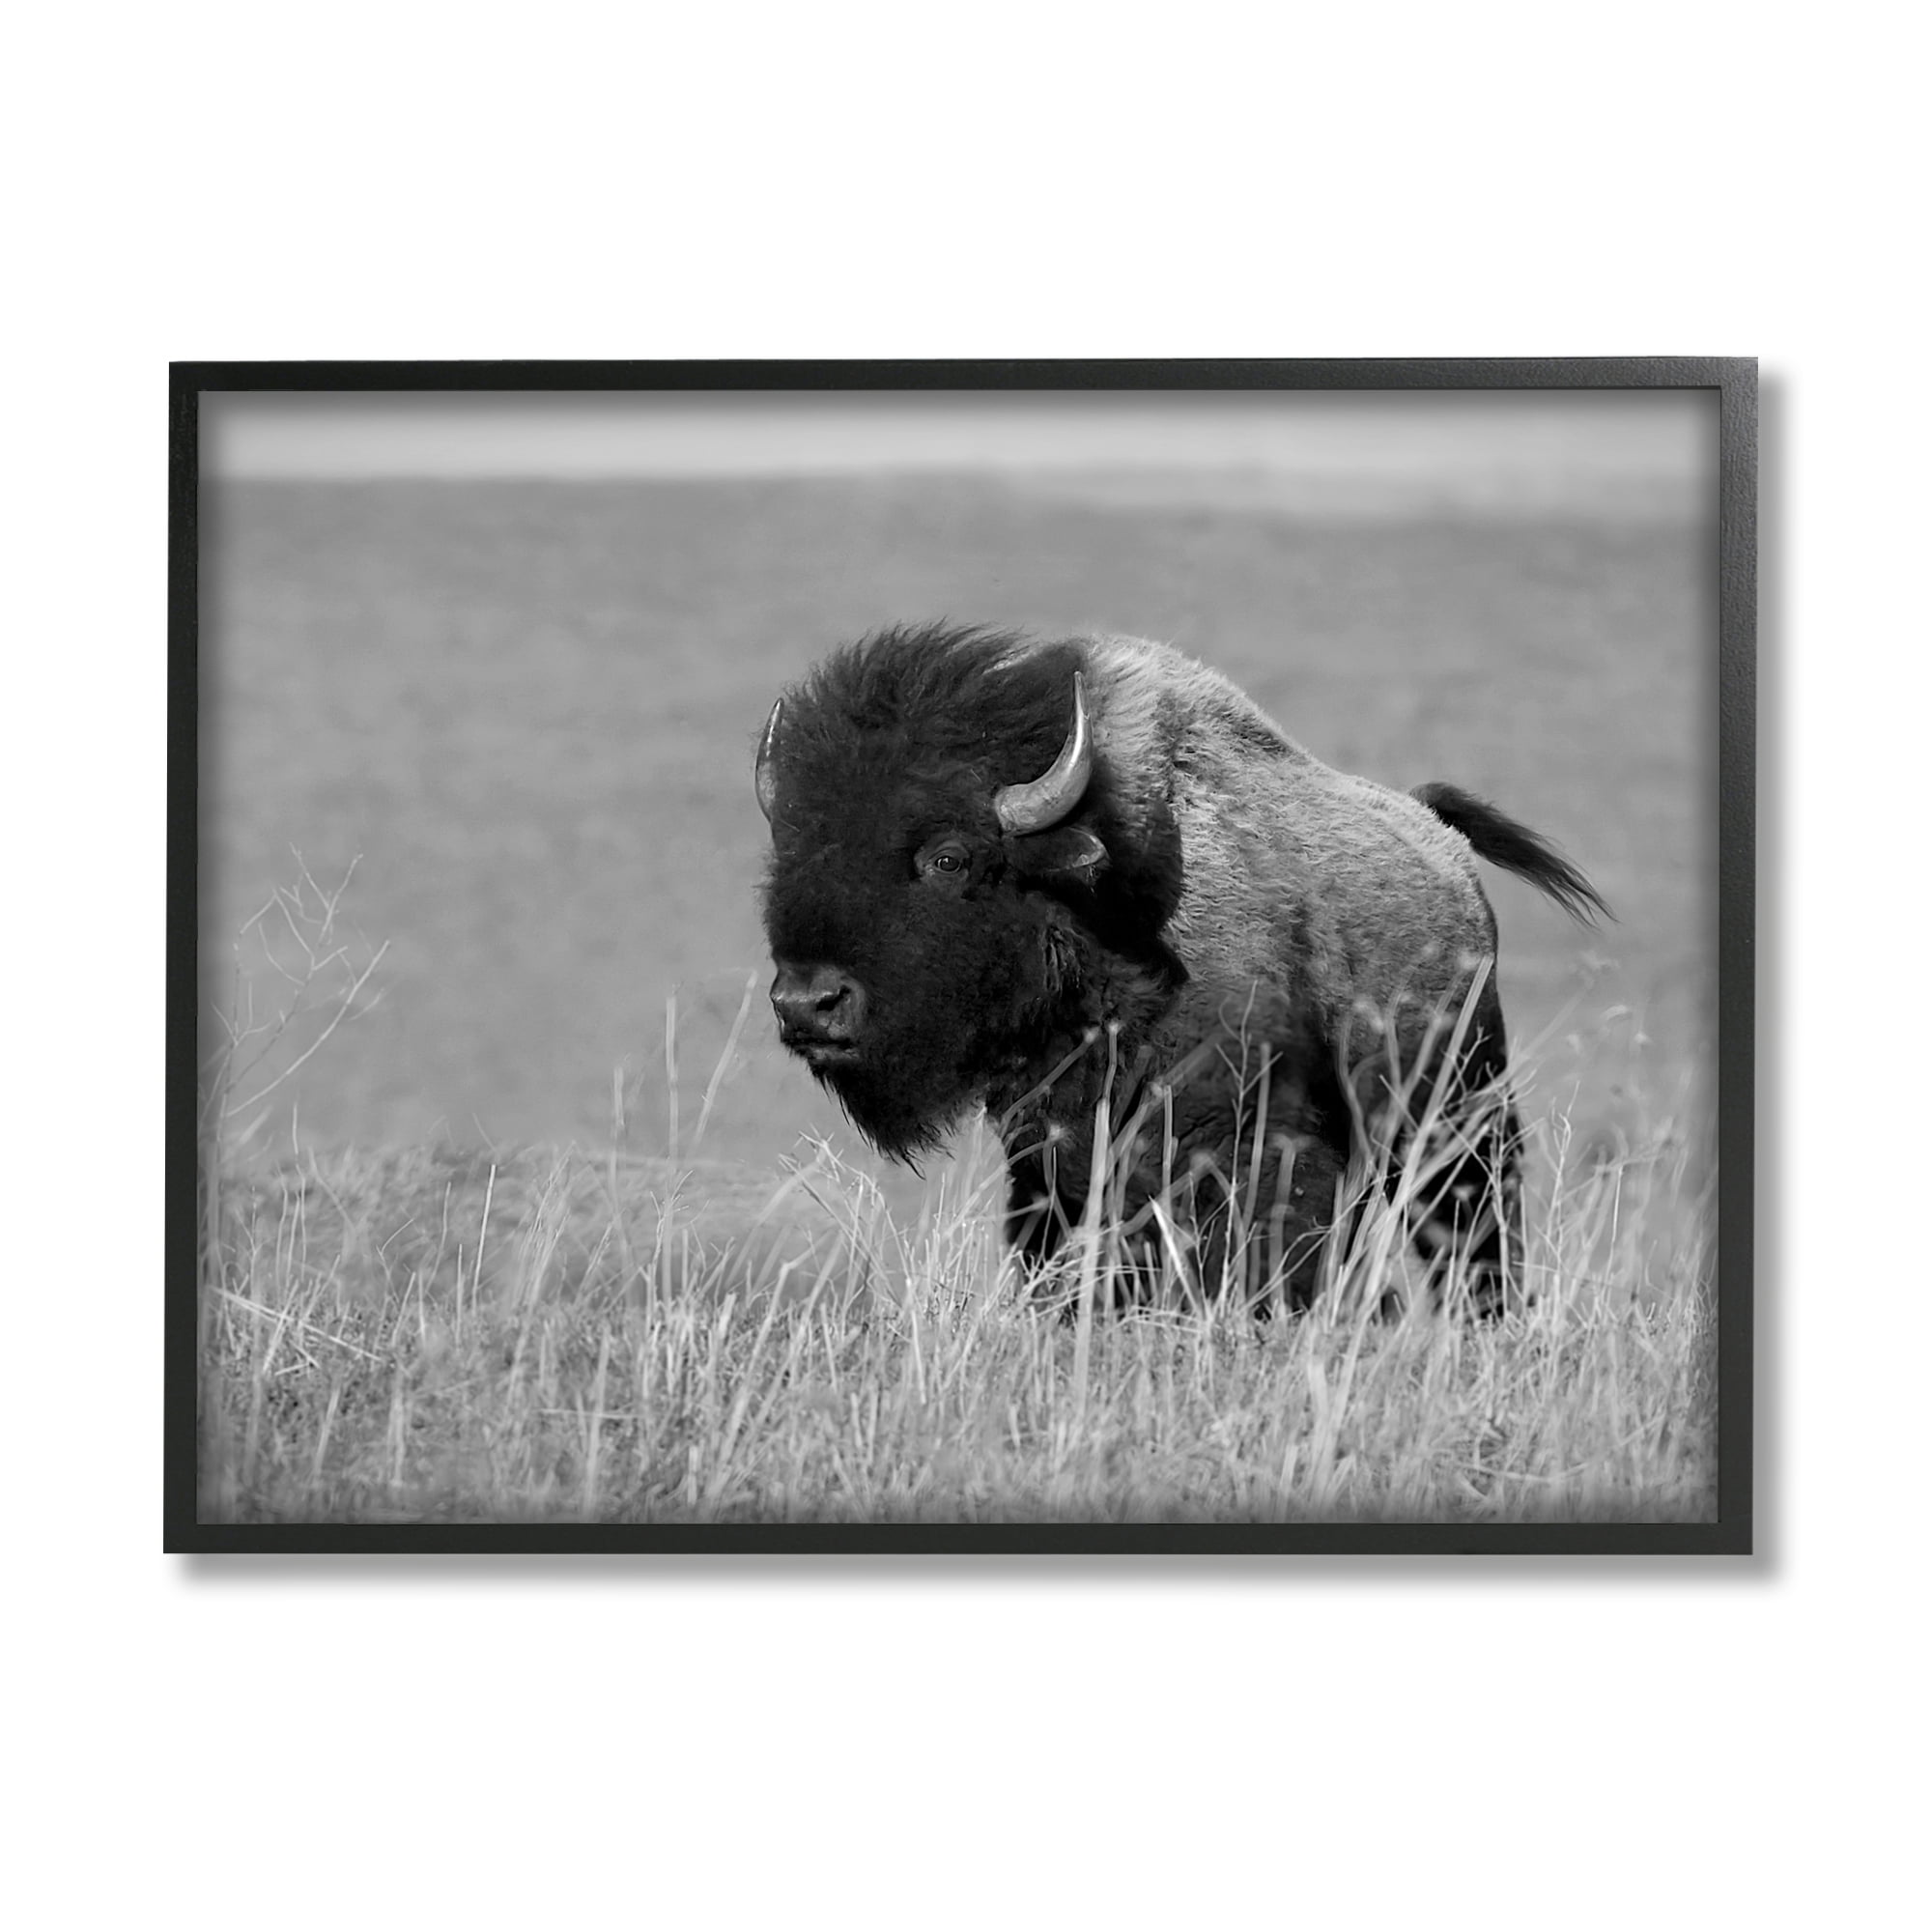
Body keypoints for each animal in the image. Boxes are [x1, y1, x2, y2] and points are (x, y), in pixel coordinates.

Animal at [755, 622, 1607, 1311]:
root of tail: (1445, 849)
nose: (807, 1002)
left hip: (1462, 1125)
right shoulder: (1054, 1166)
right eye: (790, 853)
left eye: (948, 856)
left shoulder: (1259, 1151)